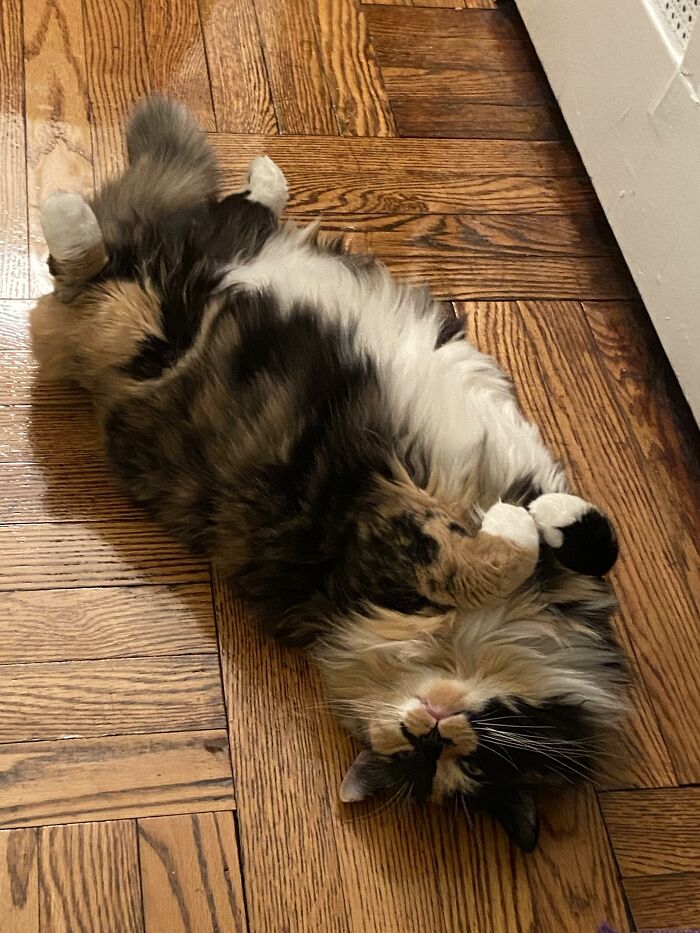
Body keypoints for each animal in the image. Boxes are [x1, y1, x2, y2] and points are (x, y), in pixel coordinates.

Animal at [30, 96, 628, 852]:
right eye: (431, 756)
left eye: (462, 763)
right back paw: (82, 206)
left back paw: (251, 183)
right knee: (83, 262)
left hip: (156, 314)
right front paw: (526, 525)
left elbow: (560, 542)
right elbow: (532, 549)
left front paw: (534, 522)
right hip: (142, 331)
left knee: (167, 240)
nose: (431, 726)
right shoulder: (378, 522)